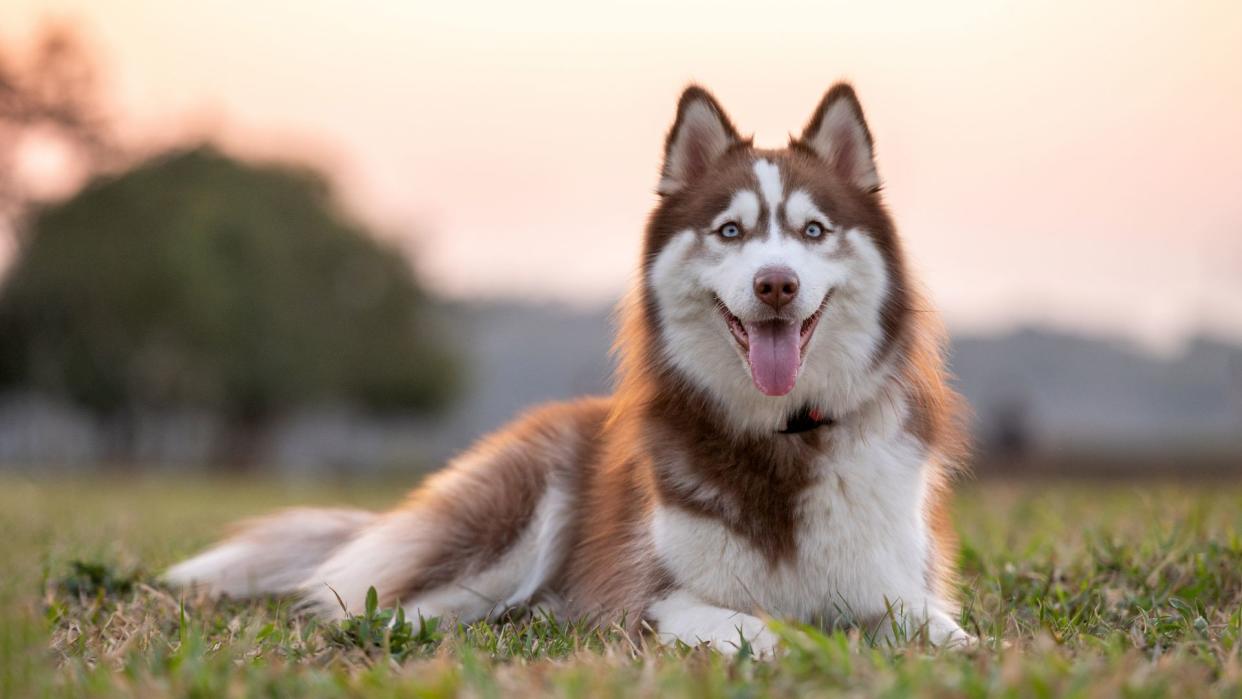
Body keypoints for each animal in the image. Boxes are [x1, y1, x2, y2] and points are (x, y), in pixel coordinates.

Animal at [167, 85, 968, 655]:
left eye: (813, 231)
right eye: (731, 231)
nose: (776, 283)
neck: (784, 439)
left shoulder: (903, 590)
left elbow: (952, 635)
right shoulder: (655, 601)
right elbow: (772, 630)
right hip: (515, 515)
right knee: (392, 603)